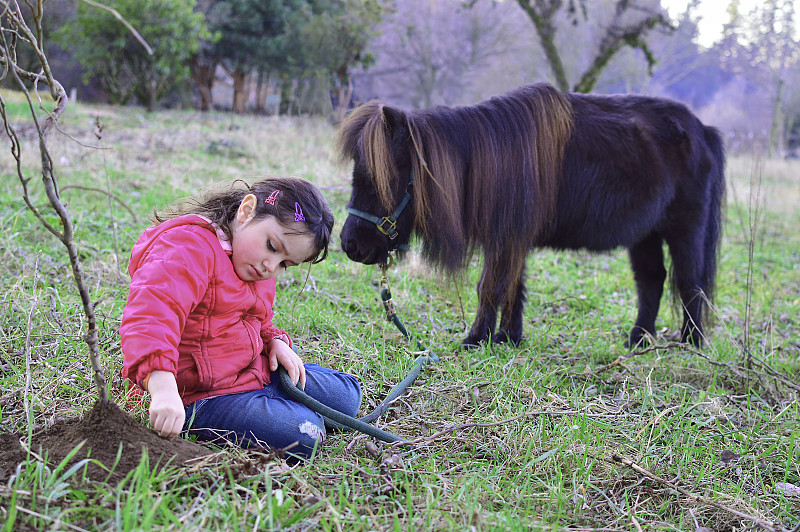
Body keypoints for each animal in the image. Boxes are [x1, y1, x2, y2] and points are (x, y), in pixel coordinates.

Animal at [338, 82, 724, 350]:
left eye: (381, 179)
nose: (349, 244)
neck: (492, 157)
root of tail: (702, 130)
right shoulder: (511, 237)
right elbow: (512, 285)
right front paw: (508, 337)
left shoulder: (507, 235)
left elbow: (490, 285)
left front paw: (477, 339)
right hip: (645, 235)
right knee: (652, 281)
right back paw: (638, 339)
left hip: (685, 229)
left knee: (690, 283)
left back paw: (691, 343)